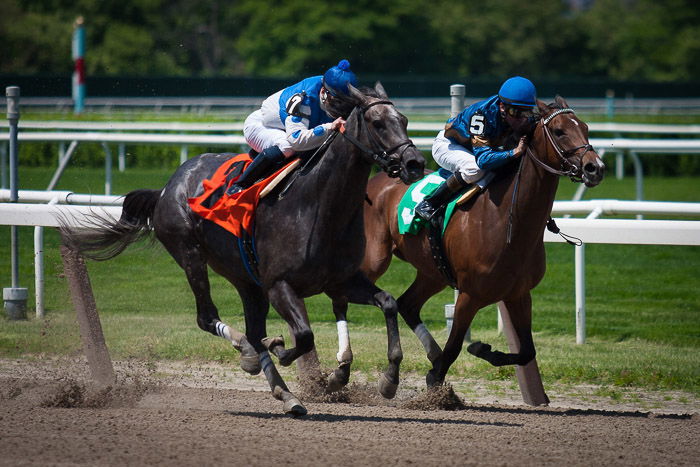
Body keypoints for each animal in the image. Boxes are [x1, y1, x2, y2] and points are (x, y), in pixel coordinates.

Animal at [61, 82, 422, 414]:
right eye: (377, 122)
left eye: (404, 120)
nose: (414, 163)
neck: (319, 205)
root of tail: (166, 187)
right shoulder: (279, 284)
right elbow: (304, 335)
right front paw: (281, 348)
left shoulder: (341, 280)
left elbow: (388, 303)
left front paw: (389, 380)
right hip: (191, 254)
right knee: (208, 317)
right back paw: (249, 353)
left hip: (246, 279)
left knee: (251, 327)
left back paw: (285, 394)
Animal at [358, 97, 604, 394]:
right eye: (559, 131)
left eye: (586, 128)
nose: (595, 167)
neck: (507, 222)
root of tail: (376, 180)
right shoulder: (469, 295)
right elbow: (453, 349)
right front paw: (436, 383)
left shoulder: (518, 293)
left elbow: (527, 351)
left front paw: (482, 349)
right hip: (374, 260)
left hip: (433, 272)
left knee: (407, 304)